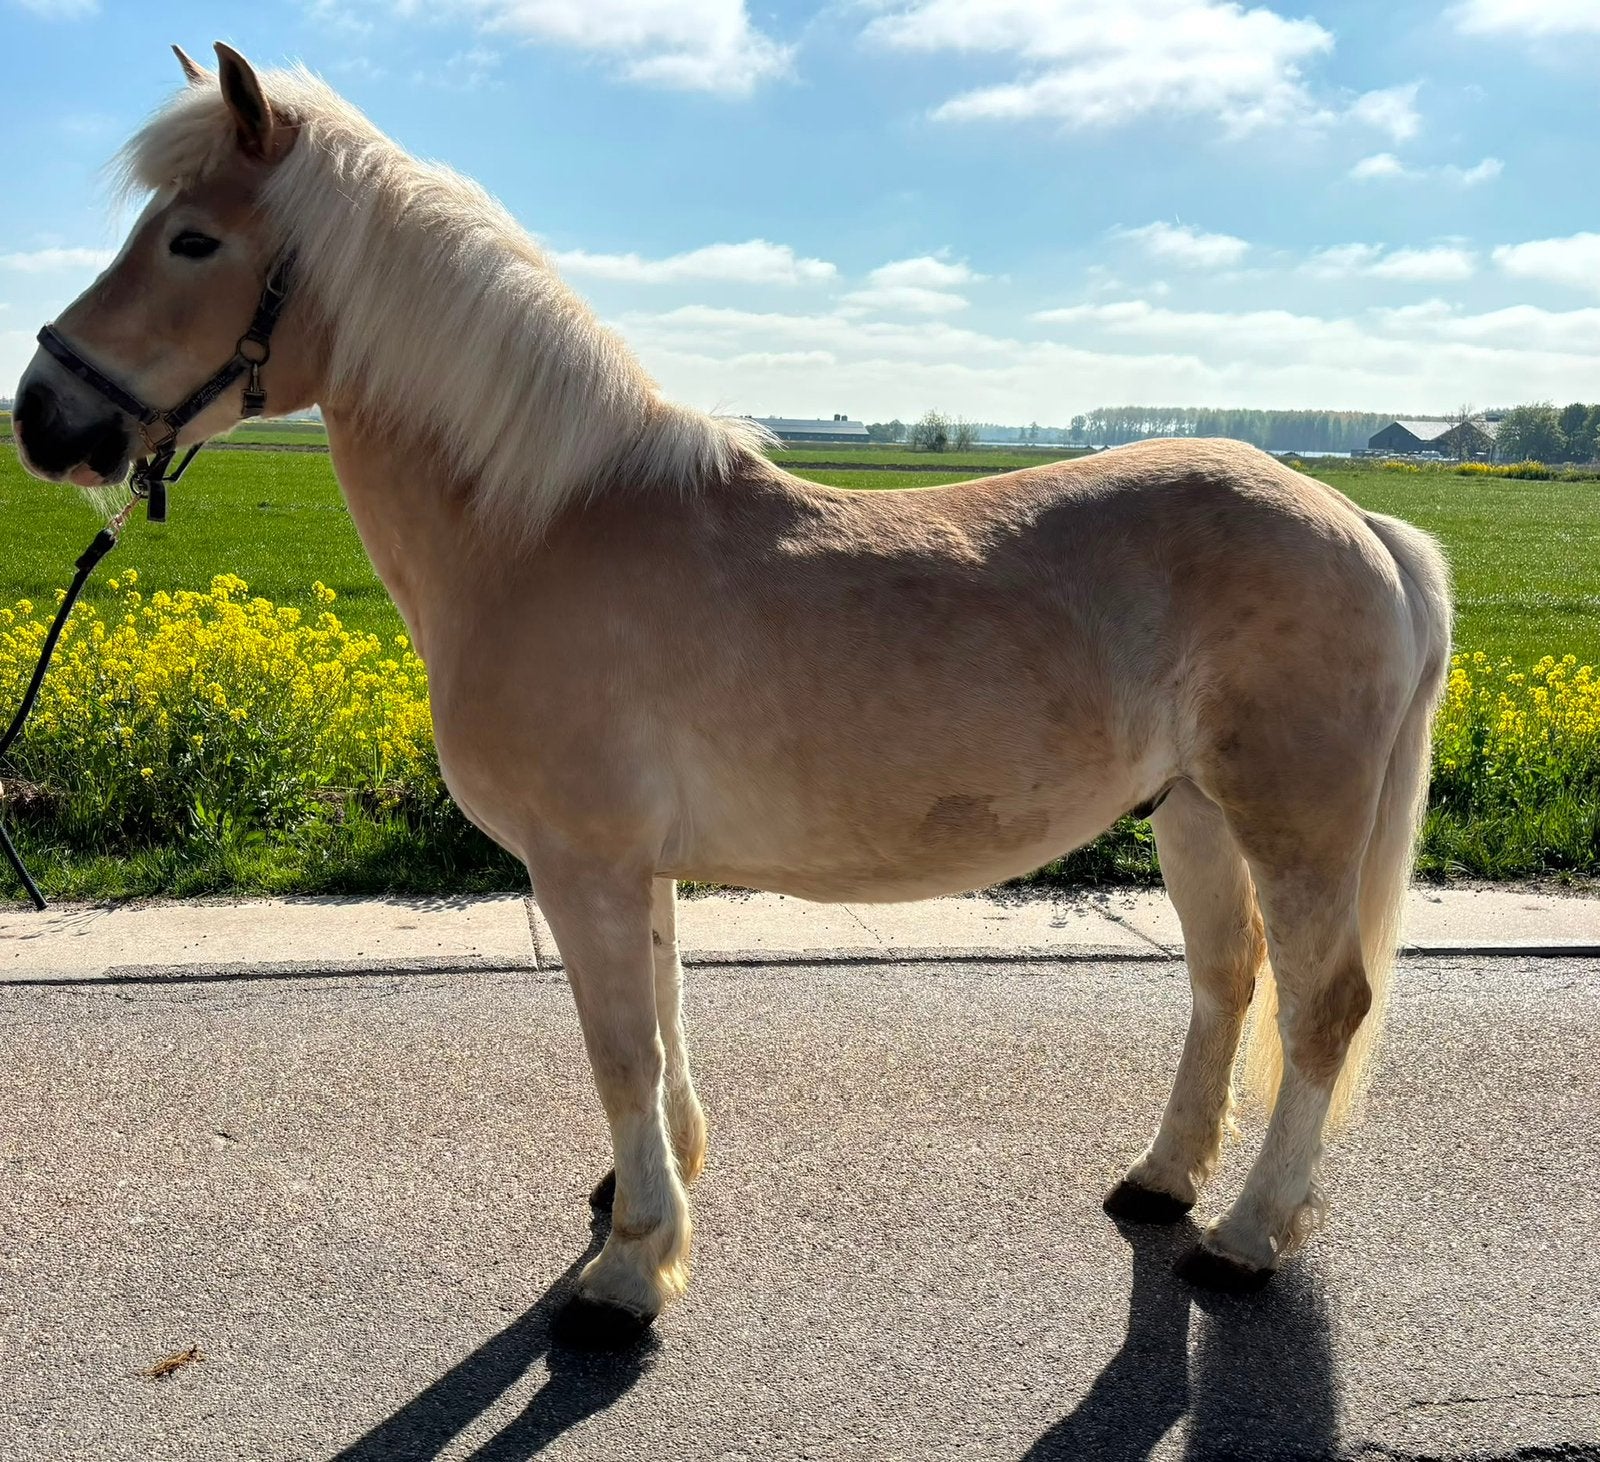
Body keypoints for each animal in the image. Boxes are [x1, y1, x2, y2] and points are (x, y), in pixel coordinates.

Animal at [11, 44, 1451, 1344]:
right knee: (1226, 979)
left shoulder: (582, 862)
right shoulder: (630, 867)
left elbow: (619, 1047)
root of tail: (1365, 526)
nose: (41, 415)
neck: (544, 529)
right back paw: (1162, 1182)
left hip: (1292, 819)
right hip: (1194, 810)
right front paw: (641, 1195)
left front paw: (629, 1273)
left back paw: (1247, 1238)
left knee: (1323, 1004)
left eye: (193, 238)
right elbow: (662, 1018)